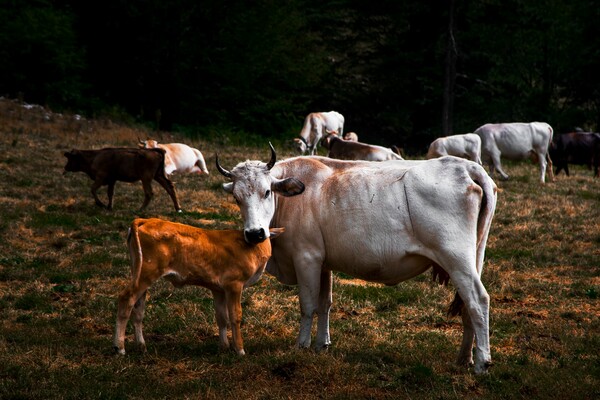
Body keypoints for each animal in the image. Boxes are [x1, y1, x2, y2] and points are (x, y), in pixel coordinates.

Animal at [113, 219, 286, 356]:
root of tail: (145, 220)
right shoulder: (234, 285)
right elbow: (235, 316)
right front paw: (239, 349)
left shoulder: (218, 289)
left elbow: (221, 317)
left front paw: (223, 347)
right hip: (147, 273)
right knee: (126, 299)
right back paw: (119, 347)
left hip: (139, 272)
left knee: (138, 309)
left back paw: (141, 346)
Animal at [218, 145, 500, 376]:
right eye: (236, 198)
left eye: (267, 192)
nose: (255, 233)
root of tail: (466, 166)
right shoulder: (324, 263)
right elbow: (325, 303)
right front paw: (322, 344)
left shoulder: (306, 258)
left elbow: (308, 305)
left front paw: (302, 345)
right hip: (473, 259)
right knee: (467, 306)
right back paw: (464, 358)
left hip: (456, 259)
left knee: (478, 300)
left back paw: (481, 362)